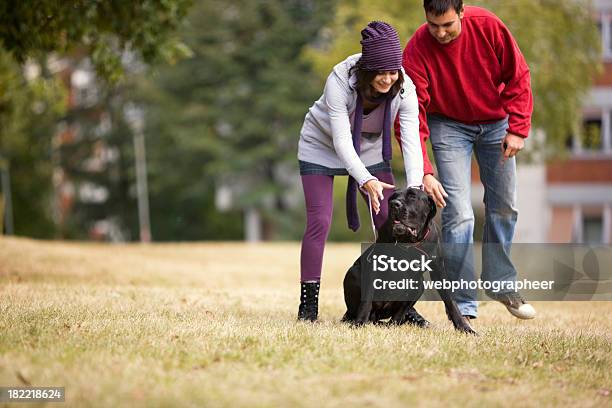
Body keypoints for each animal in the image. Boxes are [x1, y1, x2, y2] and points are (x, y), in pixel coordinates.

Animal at [342, 188, 476, 334]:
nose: (394, 204)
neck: (408, 242)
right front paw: (359, 323)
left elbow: (450, 301)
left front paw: (465, 328)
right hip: (353, 273)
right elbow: (366, 301)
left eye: (412, 196)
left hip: (419, 285)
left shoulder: (438, 270)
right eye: (392, 197)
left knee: (398, 316)